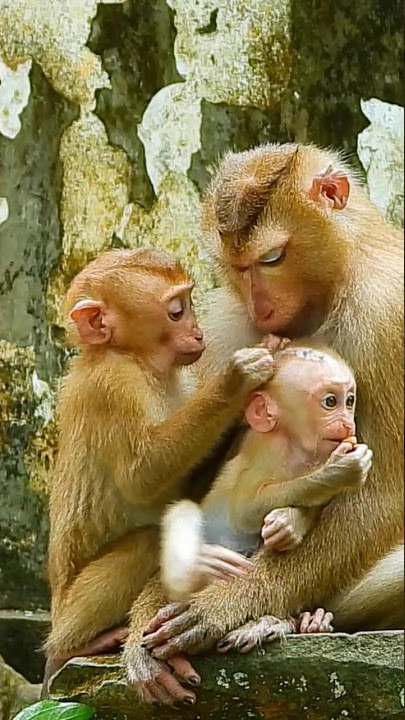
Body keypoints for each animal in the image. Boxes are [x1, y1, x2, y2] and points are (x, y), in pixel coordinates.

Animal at [42, 247, 277, 697]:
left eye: (188, 302)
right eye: (176, 311)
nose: (199, 333)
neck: (130, 356)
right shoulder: (114, 386)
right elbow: (142, 476)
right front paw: (235, 379)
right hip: (67, 612)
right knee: (149, 540)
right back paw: (76, 646)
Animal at [122, 142, 403, 705]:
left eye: (272, 259)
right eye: (237, 266)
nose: (263, 307)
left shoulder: (387, 320)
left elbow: (383, 494)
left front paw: (225, 604)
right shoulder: (231, 327)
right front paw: (145, 628)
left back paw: (280, 619)